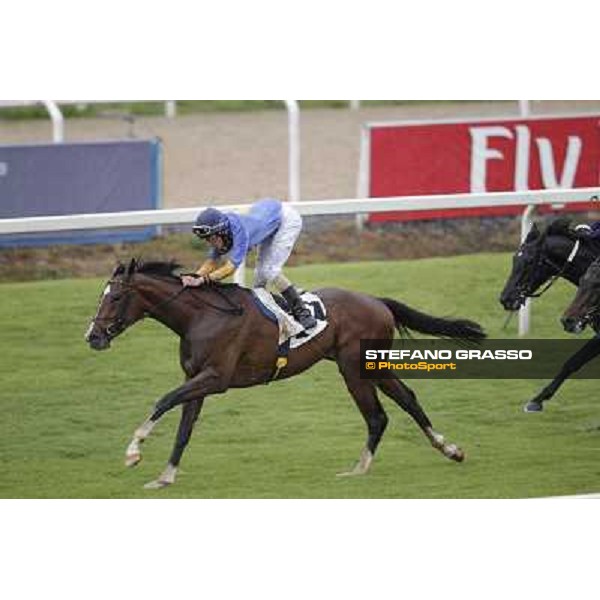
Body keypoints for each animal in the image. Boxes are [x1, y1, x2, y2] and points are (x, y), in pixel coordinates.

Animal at [85, 258, 488, 488]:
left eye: (115, 297)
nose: (92, 336)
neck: (202, 316)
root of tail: (377, 300)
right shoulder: (197, 379)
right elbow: (184, 427)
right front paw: (165, 476)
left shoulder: (215, 378)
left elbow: (163, 400)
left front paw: (133, 451)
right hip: (372, 365)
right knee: (407, 399)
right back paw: (448, 449)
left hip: (354, 367)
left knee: (377, 416)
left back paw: (359, 470)